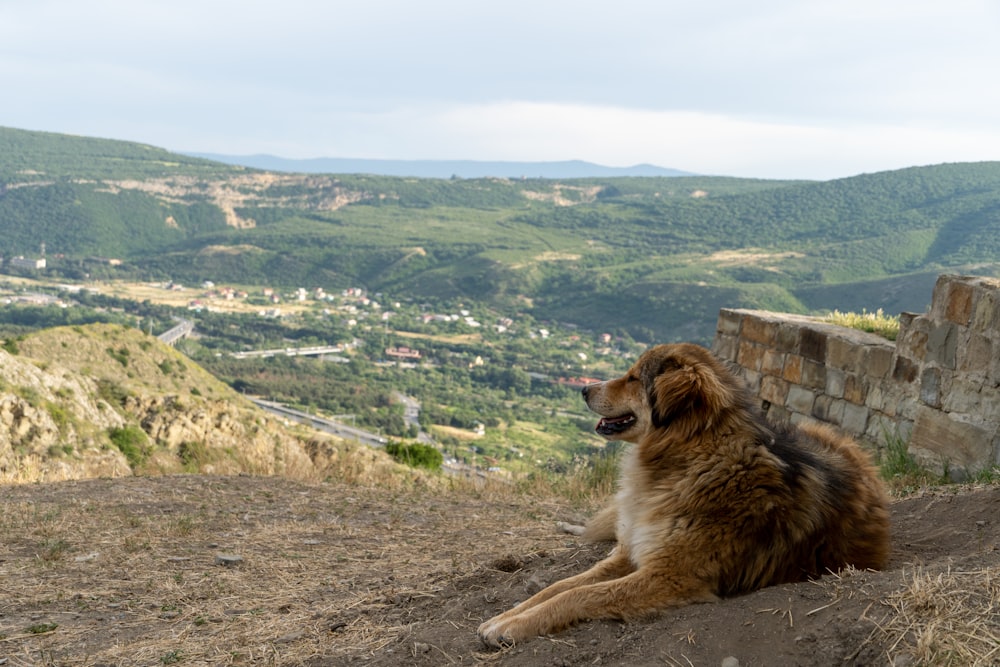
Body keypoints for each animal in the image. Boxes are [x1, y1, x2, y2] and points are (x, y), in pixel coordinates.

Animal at [478, 344, 892, 648]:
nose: (582, 388)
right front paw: (506, 616)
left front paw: (512, 627)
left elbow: (578, 596)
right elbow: (559, 586)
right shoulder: (631, 552)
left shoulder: (669, 576)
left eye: (633, 377)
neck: (690, 457)